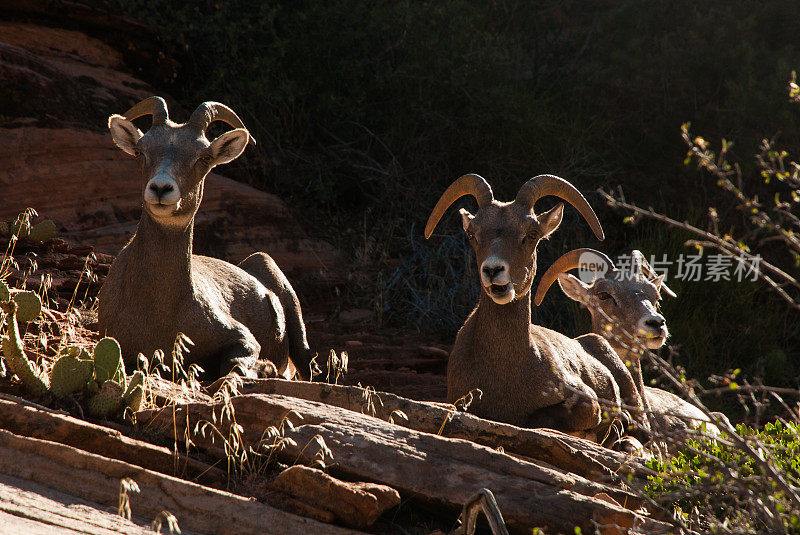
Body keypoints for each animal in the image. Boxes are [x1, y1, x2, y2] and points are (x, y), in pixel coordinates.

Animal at [102, 96, 318, 382]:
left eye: (203, 157)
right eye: (140, 151)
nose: (161, 188)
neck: (162, 312)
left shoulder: (243, 339)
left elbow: (233, 365)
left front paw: (265, 367)